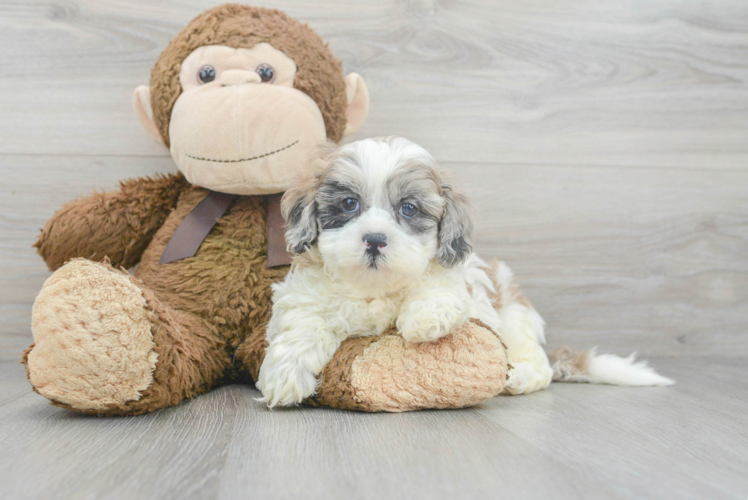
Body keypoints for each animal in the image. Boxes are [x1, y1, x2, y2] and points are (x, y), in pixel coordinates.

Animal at [258, 136, 672, 406]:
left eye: (408, 209)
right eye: (348, 203)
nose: (374, 239)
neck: (374, 287)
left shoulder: (462, 281)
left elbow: (439, 289)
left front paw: (424, 319)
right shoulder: (304, 298)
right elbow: (301, 328)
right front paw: (284, 376)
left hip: (515, 315)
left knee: (539, 367)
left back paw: (519, 376)